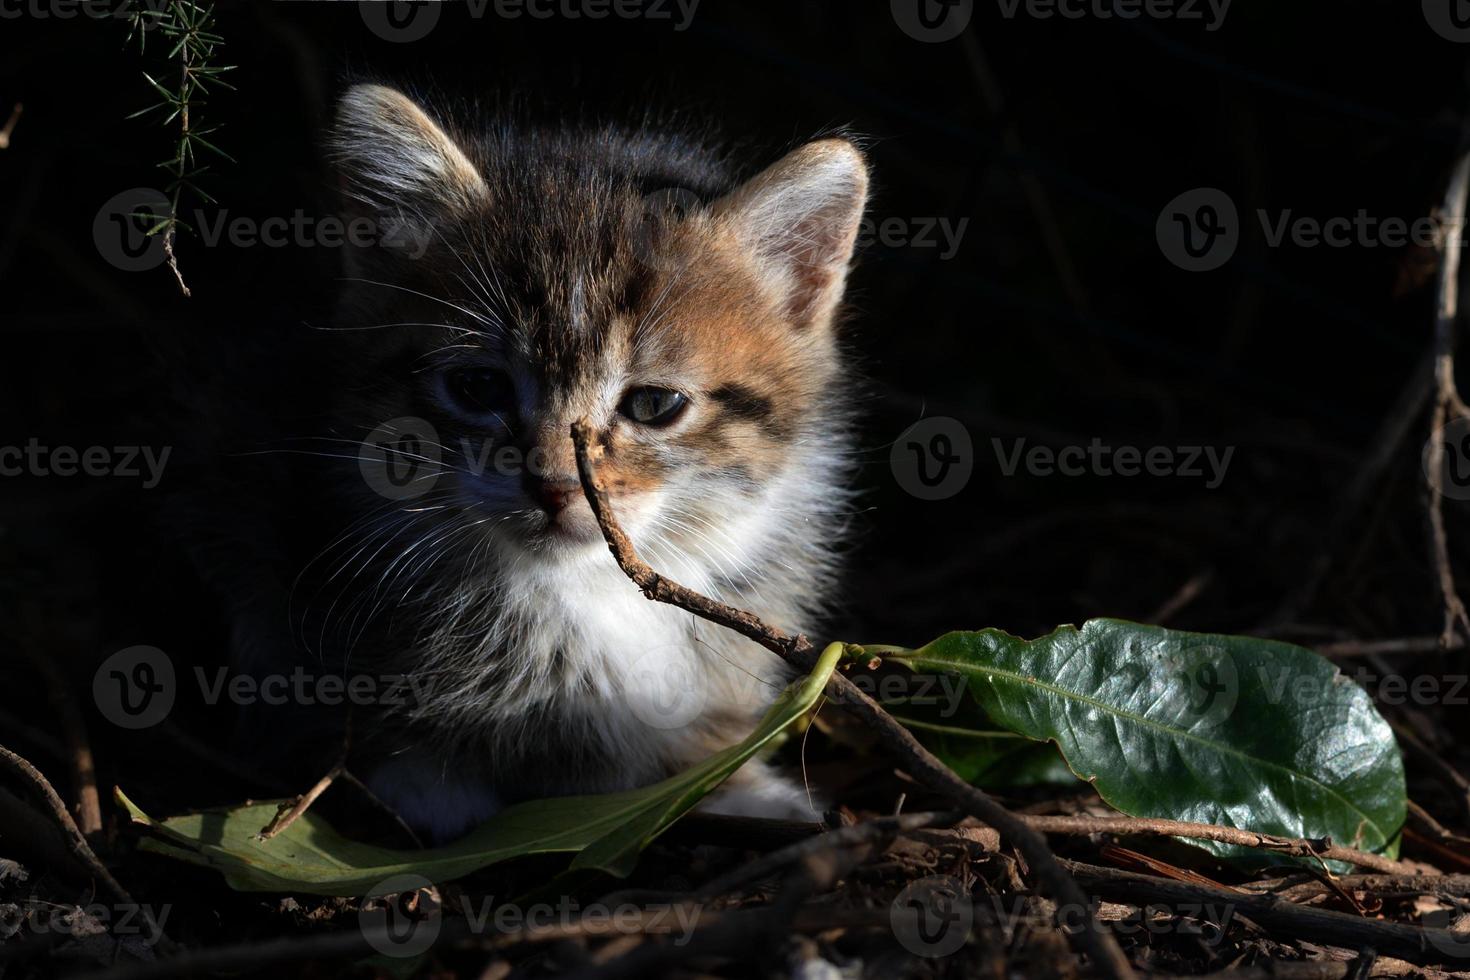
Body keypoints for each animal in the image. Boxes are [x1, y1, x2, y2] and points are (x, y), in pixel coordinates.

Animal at [217, 82, 864, 846]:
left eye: (654, 405)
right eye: (478, 388)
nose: (554, 486)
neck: (581, 592)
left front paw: (738, 787)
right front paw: (428, 783)